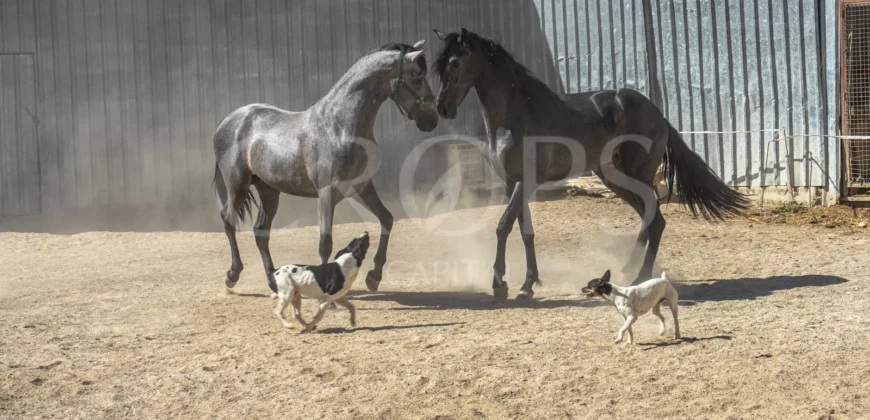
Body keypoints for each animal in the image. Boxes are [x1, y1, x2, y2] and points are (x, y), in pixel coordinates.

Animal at [215, 41, 440, 294]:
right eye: (417, 76)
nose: (432, 120)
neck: (339, 127)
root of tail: (228, 120)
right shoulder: (327, 193)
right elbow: (325, 243)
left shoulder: (362, 186)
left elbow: (387, 219)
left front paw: (374, 276)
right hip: (237, 184)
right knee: (228, 220)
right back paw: (232, 275)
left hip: (268, 190)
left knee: (261, 231)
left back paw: (273, 281)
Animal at [436, 27, 748, 300]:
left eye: (455, 62)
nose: (442, 108)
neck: (517, 114)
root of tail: (657, 112)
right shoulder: (513, 182)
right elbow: (524, 231)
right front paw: (526, 285)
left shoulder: (525, 181)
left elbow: (503, 226)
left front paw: (502, 285)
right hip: (614, 178)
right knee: (648, 218)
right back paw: (627, 269)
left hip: (638, 175)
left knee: (656, 220)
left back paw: (639, 277)